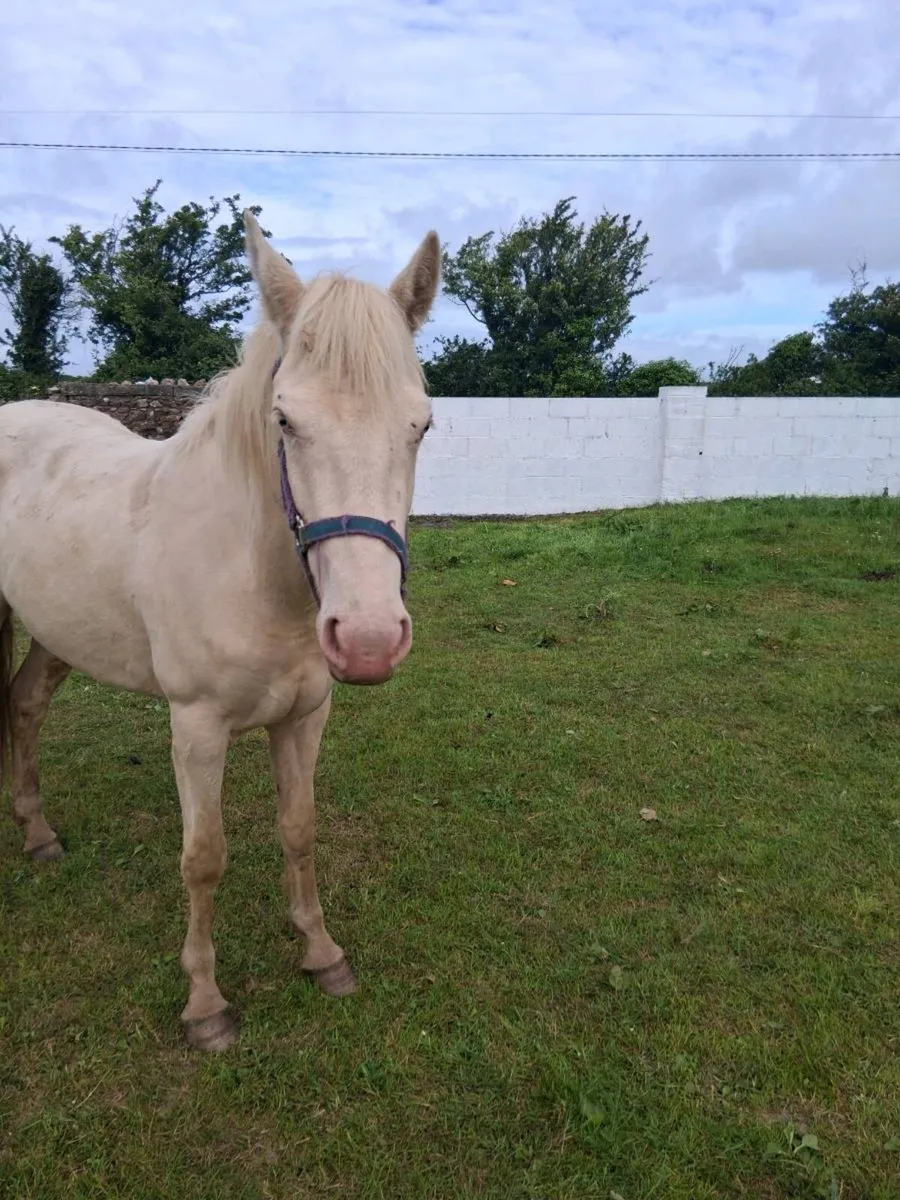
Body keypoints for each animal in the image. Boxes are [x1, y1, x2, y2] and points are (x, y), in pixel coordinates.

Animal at [0, 211, 441, 1051]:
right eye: (286, 420)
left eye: (422, 426)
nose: (368, 639)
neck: (256, 575)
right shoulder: (197, 727)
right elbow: (203, 859)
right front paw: (205, 1004)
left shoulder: (305, 716)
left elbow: (299, 828)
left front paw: (321, 953)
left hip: (54, 631)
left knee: (26, 704)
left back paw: (37, 836)